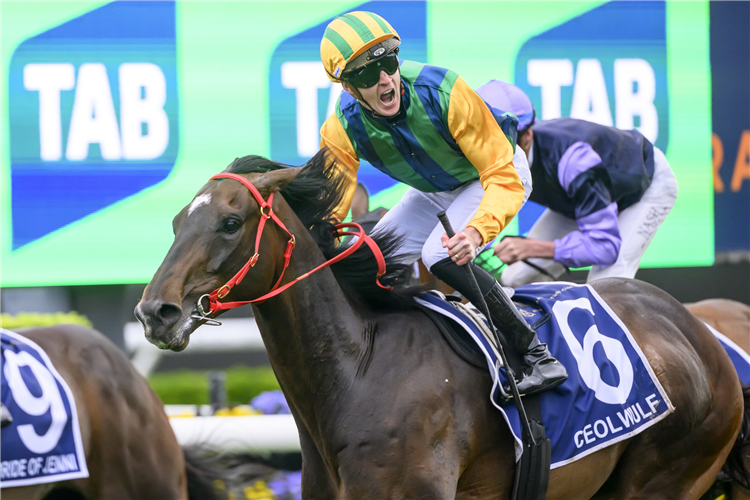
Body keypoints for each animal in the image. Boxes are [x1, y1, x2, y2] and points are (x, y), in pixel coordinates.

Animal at [138, 150, 748, 498]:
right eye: (175, 223)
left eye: (231, 222)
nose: (154, 311)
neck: (361, 369)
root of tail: (699, 333)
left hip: (667, 474)